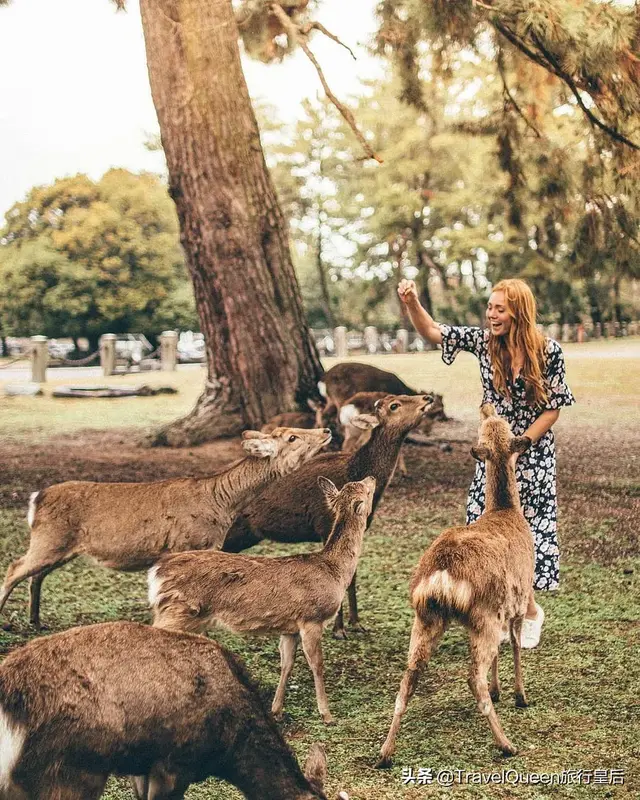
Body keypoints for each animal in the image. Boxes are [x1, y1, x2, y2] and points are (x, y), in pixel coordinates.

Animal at [0, 428, 330, 628]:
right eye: (292, 437)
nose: (326, 431)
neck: (221, 502)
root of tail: (35, 498)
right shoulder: (188, 543)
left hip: (60, 545)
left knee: (36, 575)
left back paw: (36, 620)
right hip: (48, 538)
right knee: (14, 568)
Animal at [150, 478, 376, 728]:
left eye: (356, 484)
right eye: (366, 491)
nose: (372, 478)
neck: (334, 571)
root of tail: (156, 572)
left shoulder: (290, 627)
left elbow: (287, 663)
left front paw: (276, 711)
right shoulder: (312, 619)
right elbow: (317, 665)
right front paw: (327, 715)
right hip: (176, 611)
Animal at [221, 394, 436, 636]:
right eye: (394, 405)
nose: (427, 397)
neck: (355, 471)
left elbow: (352, 575)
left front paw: (356, 622)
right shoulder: (325, 524)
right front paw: (338, 628)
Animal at [380, 406, 536, 764]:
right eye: (506, 427)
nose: (489, 410)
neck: (506, 510)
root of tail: (441, 577)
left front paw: (500, 689)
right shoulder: (520, 597)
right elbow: (515, 644)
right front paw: (519, 695)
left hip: (425, 617)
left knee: (407, 678)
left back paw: (384, 753)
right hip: (483, 613)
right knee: (472, 677)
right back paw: (506, 744)